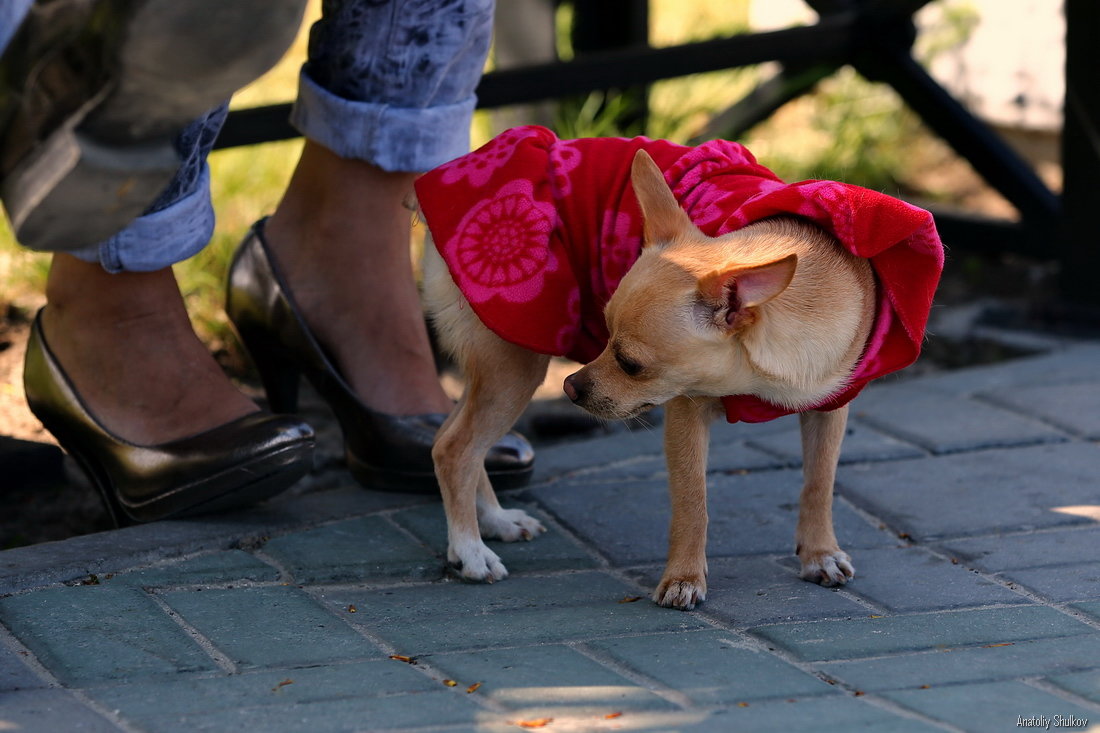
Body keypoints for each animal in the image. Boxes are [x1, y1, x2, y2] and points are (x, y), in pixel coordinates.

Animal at [415, 127, 941, 611]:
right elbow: (693, 503)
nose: (569, 387)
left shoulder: (830, 406)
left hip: (499, 369)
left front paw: (820, 554)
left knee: (453, 439)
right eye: (604, 333)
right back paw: (470, 550)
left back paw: (496, 521)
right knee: (456, 449)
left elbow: (819, 483)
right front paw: (684, 578)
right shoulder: (686, 411)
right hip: (514, 365)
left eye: (631, 364)